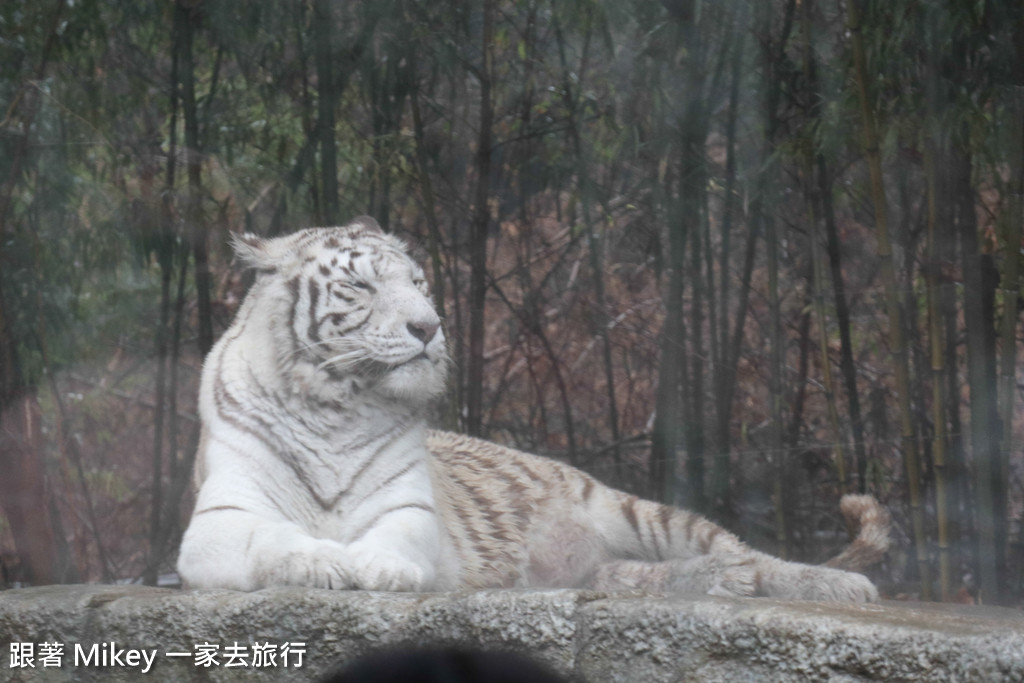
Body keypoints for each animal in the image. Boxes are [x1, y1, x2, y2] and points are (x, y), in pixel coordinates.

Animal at [178, 216, 888, 602]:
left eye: (419, 284)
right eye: (360, 286)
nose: (429, 327)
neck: (338, 403)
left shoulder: (411, 511)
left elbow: (394, 538)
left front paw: (377, 567)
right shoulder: (218, 521)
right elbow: (272, 536)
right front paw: (325, 561)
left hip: (631, 509)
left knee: (751, 553)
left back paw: (828, 585)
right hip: (600, 561)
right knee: (638, 575)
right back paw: (713, 581)